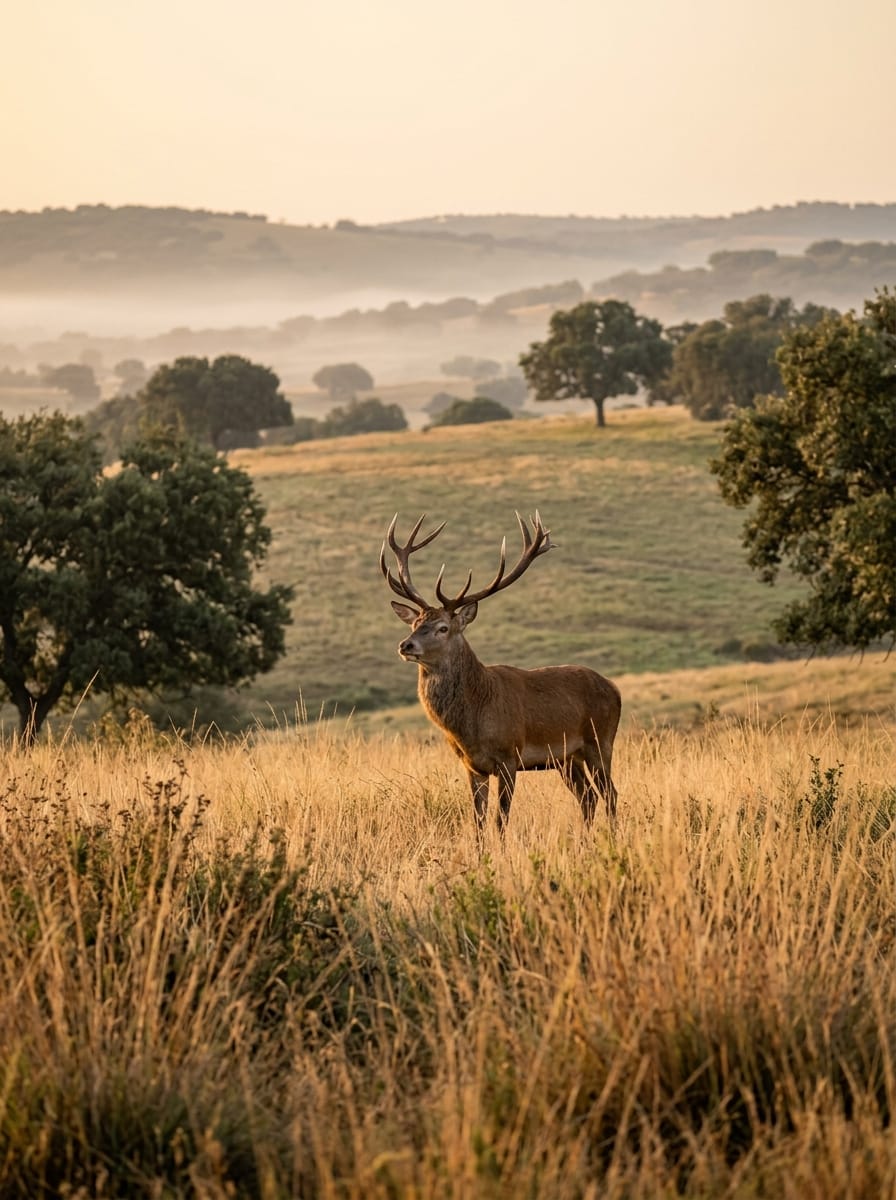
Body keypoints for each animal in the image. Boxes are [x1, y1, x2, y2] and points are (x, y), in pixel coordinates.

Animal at [381, 511, 621, 841]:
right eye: (415, 623)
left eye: (443, 627)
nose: (406, 645)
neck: (473, 723)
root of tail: (615, 689)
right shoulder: (473, 766)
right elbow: (479, 822)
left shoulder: (509, 757)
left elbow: (500, 820)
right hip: (567, 758)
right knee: (588, 797)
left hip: (600, 740)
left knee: (610, 793)